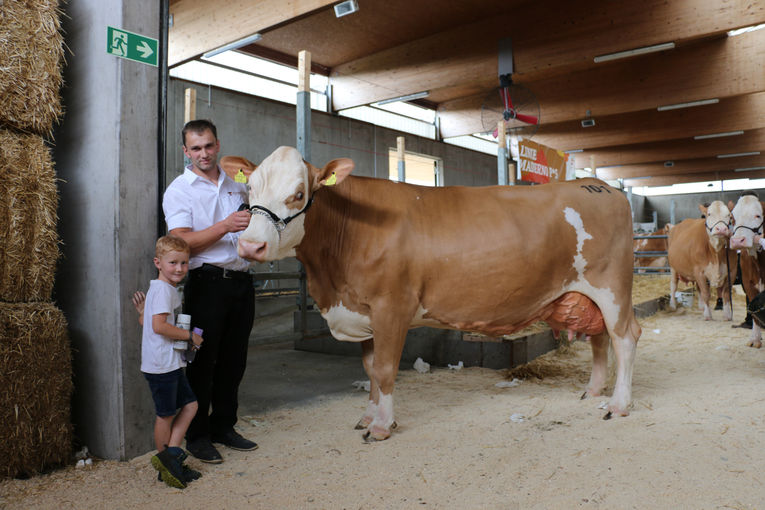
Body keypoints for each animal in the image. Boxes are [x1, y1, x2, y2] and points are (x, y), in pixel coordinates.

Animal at [225, 145, 640, 440]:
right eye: (250, 187)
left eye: (298, 194)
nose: (250, 246)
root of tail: (599, 186)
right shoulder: (363, 310)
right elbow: (370, 369)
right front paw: (368, 415)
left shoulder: (391, 306)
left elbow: (386, 369)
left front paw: (382, 426)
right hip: (587, 294)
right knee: (600, 337)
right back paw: (593, 391)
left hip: (612, 287)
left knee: (624, 337)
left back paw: (618, 404)